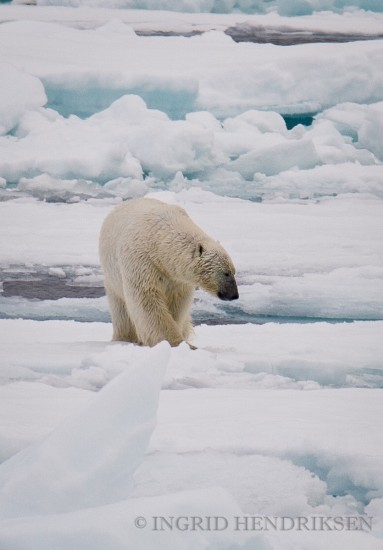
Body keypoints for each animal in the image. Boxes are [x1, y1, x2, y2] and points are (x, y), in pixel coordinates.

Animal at [99, 198, 238, 348]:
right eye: (226, 273)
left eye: (234, 272)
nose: (234, 295)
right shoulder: (142, 262)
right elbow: (147, 300)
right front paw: (178, 343)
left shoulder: (176, 277)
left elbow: (177, 302)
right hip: (113, 278)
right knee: (122, 310)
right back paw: (125, 338)